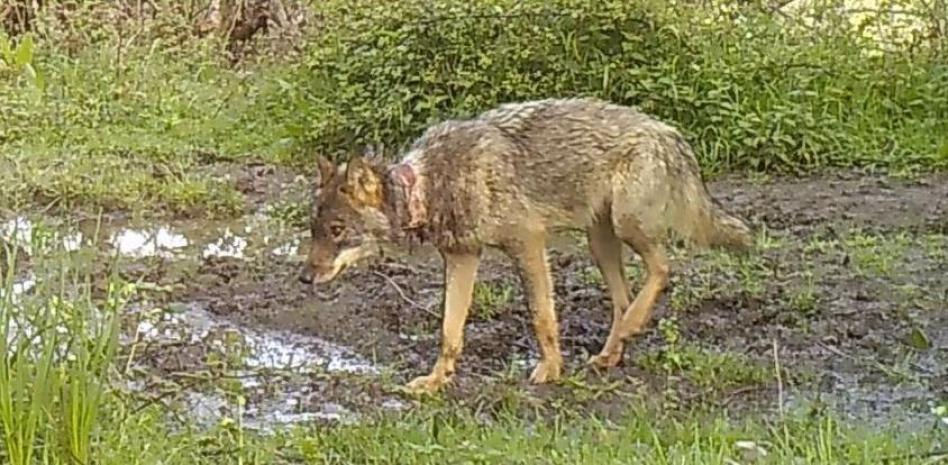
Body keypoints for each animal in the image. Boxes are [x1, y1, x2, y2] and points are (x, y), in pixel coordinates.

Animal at [298, 97, 753, 395]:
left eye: (337, 230)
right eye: (314, 229)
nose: (304, 278)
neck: (428, 186)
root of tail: (671, 133)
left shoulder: (528, 245)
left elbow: (541, 316)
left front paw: (550, 370)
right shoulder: (462, 258)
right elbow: (449, 331)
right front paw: (436, 381)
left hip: (625, 227)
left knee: (663, 269)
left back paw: (630, 329)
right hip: (600, 241)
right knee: (624, 299)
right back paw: (610, 352)